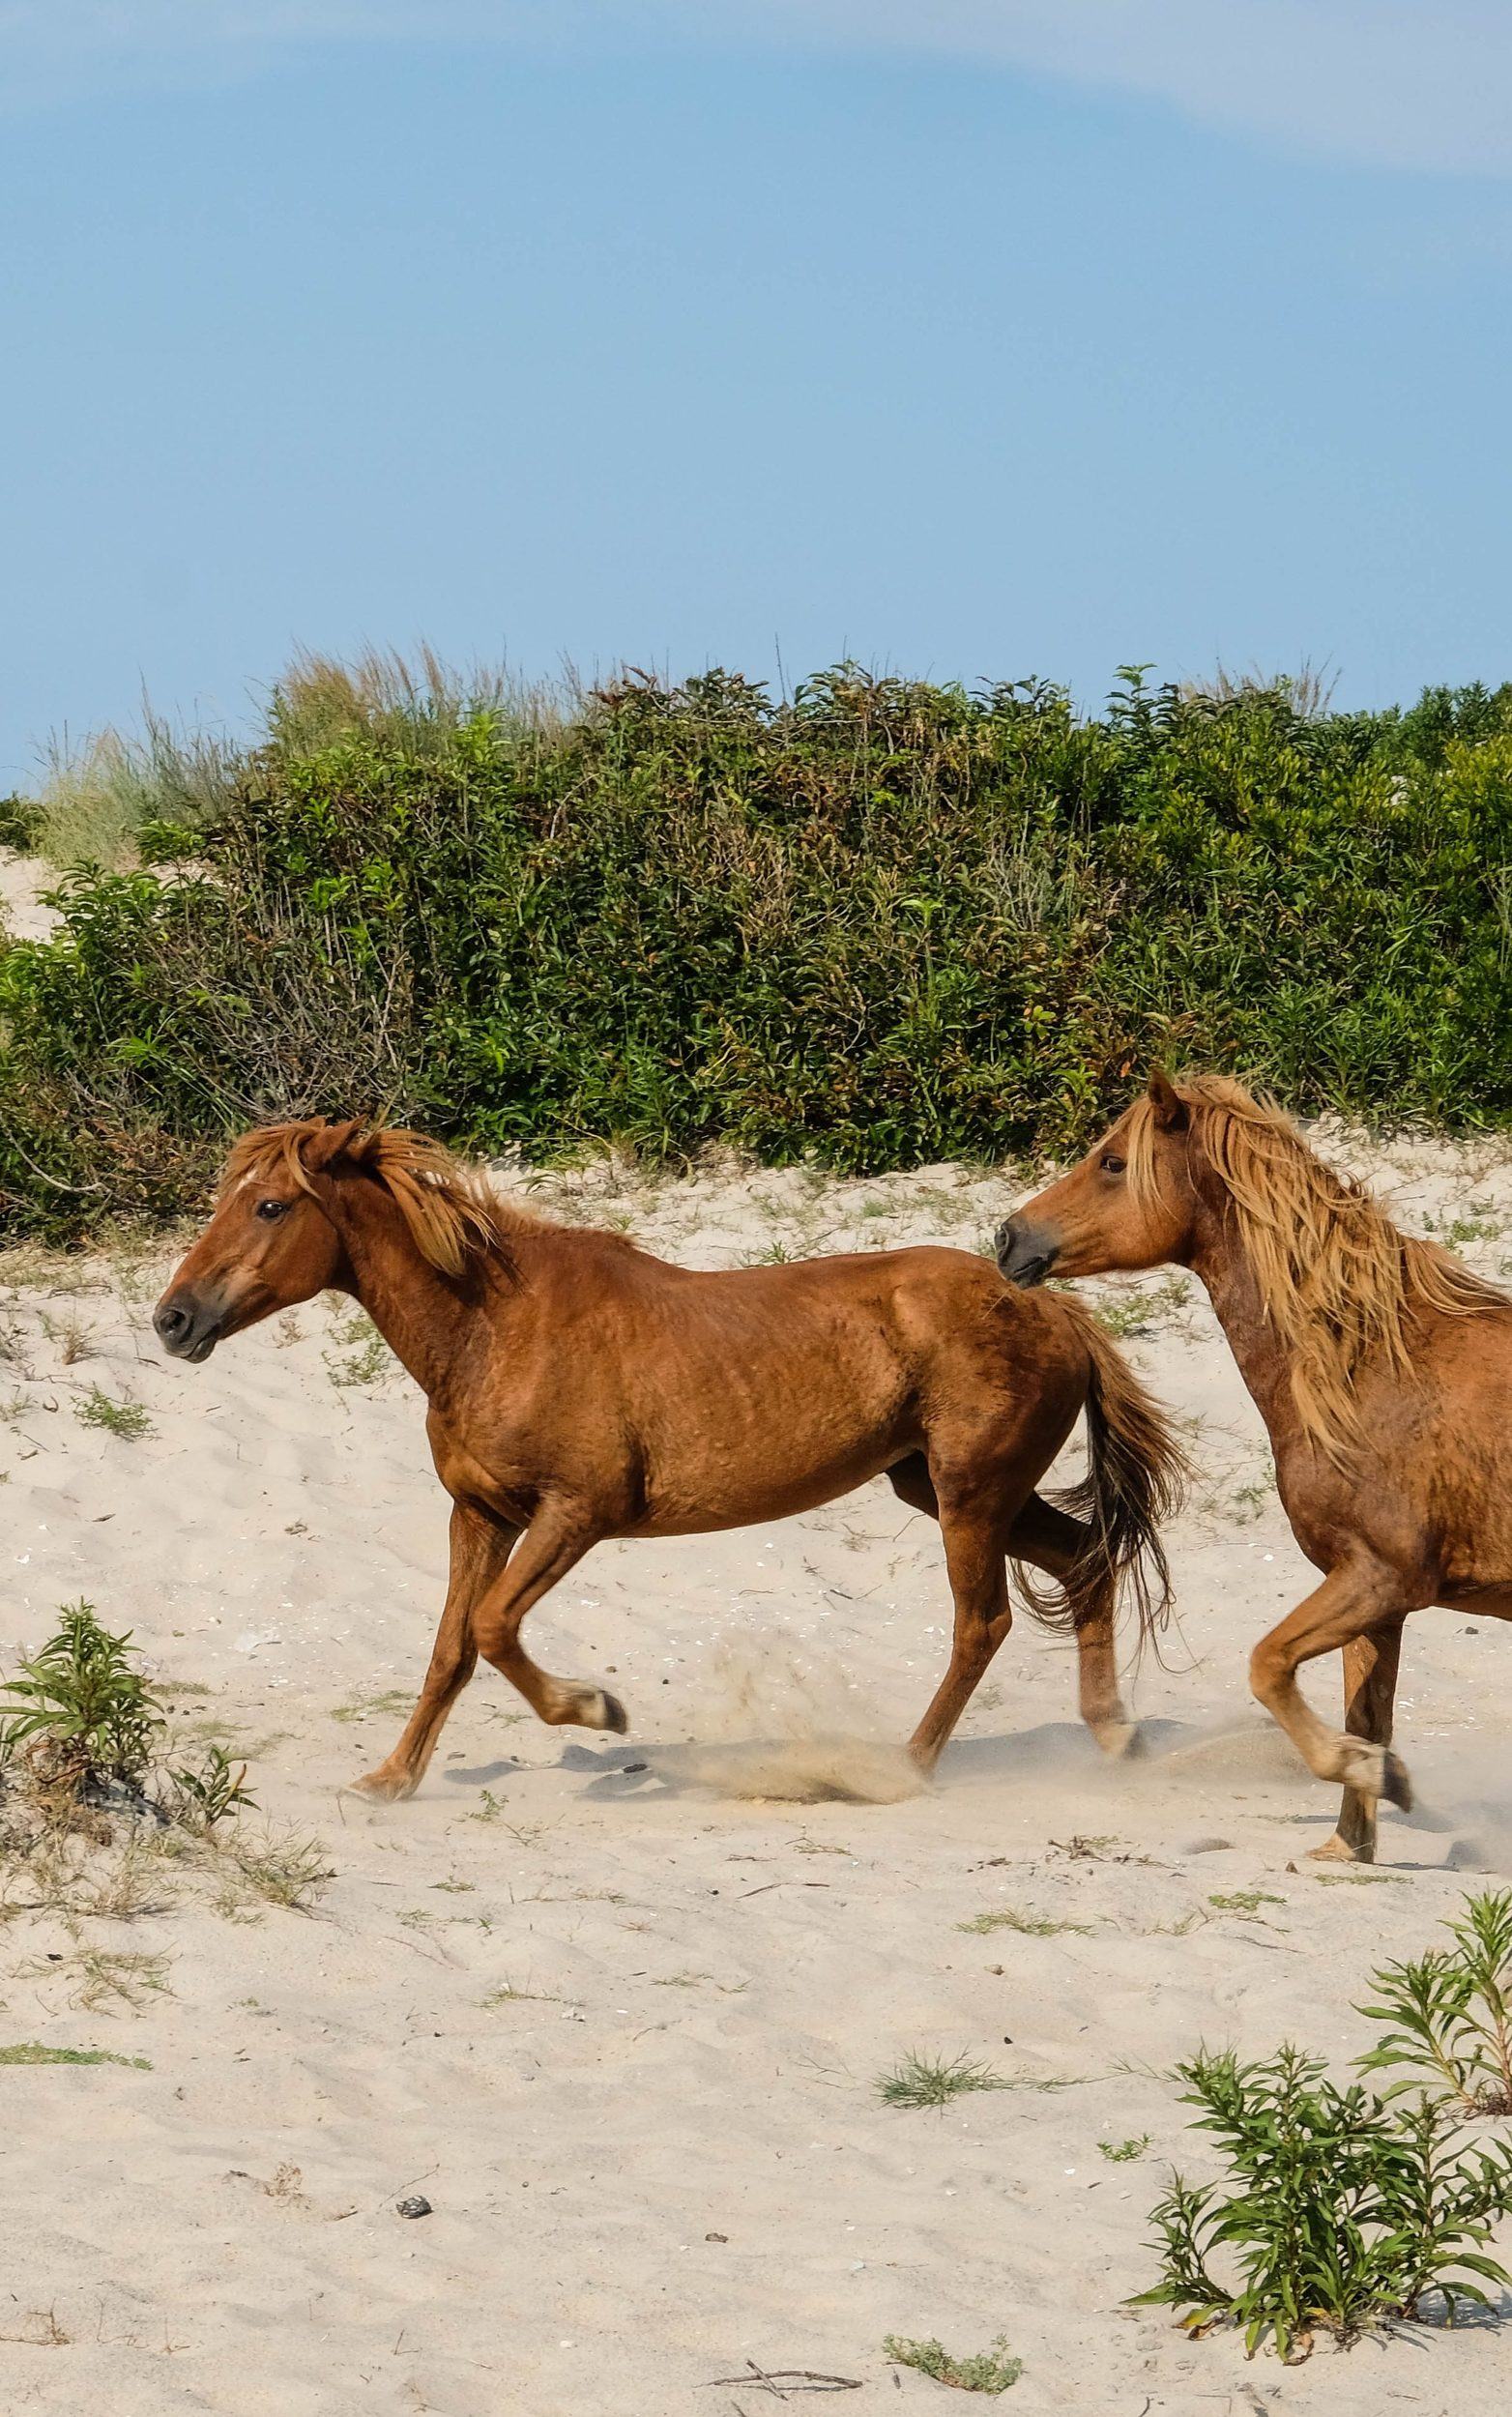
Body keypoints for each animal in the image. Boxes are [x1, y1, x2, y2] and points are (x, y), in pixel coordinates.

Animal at [159, 1112, 1183, 1798]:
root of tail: (1052, 1307)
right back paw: (1113, 1739)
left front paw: (596, 1710)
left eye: (269, 1205)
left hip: (971, 1495)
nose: (174, 1320)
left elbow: (491, 1629)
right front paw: (390, 1781)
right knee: (1085, 1564)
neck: (493, 1330)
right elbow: (451, 1648)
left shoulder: (578, 1513)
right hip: (944, 1488)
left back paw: (907, 1766)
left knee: (983, 1624)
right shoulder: (479, 1514)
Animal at [990, 1078, 1507, 1866]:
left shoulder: (1382, 1577)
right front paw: (1351, 1839)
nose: (1008, 1239)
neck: (1371, 1368)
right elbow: (1365, 1714)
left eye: (1112, 1163)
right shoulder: (1376, 1596)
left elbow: (1268, 1665)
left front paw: (1378, 1776)